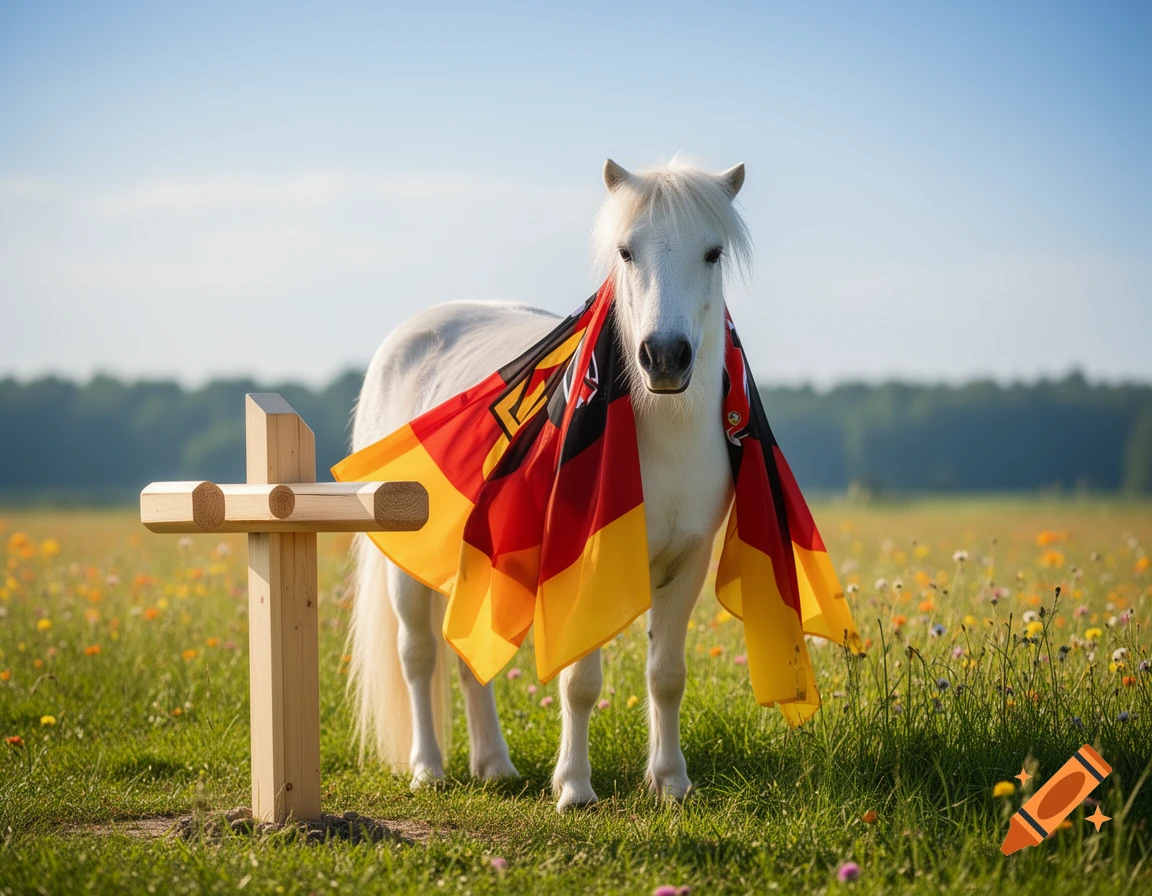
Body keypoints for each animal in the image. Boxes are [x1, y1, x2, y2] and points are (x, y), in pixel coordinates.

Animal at [347, 156, 752, 811]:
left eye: (712, 252)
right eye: (626, 251)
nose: (664, 357)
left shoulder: (686, 565)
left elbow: (666, 676)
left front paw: (671, 783)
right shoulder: (580, 565)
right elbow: (580, 680)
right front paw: (575, 788)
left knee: (467, 656)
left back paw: (494, 765)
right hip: (406, 565)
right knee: (419, 655)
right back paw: (428, 768)